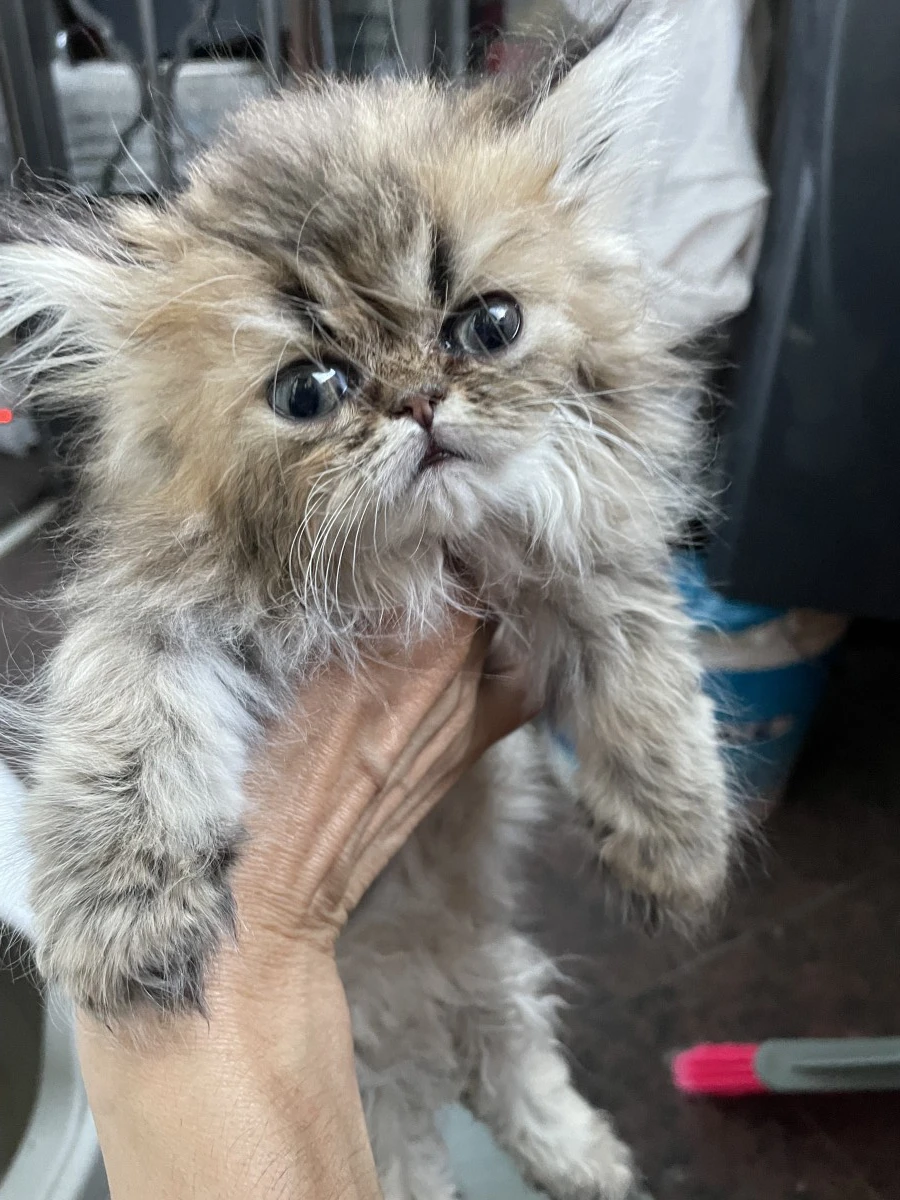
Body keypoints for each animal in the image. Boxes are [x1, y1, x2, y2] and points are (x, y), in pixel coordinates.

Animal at [0, 11, 734, 1200]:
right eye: (310, 390)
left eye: (489, 324)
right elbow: (124, 725)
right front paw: (124, 913)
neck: (410, 563)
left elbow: (651, 676)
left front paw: (674, 847)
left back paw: (580, 1155)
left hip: (493, 985)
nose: (420, 401)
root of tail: (427, 1021)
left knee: (517, 1066)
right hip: (389, 1090)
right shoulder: (151, 607)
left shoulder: (586, 560)